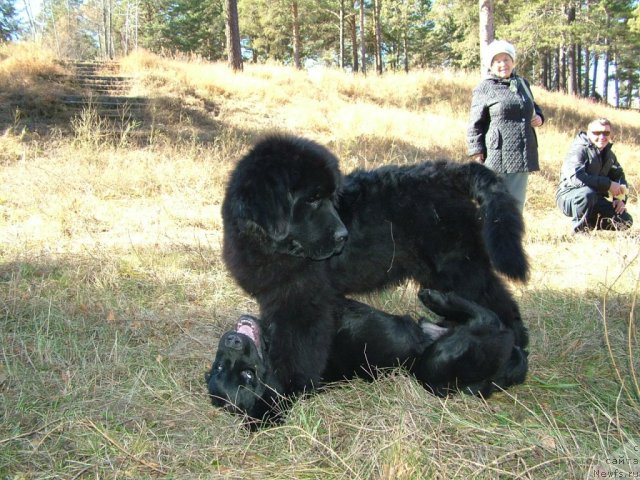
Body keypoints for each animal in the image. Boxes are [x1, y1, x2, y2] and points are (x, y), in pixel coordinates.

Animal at [221, 134, 528, 398]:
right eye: (312, 199)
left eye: (328, 198)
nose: (343, 236)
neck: (266, 245)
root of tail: (445, 173)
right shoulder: (275, 295)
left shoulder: (302, 300)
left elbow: (298, 344)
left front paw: (285, 385)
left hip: (458, 265)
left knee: (497, 304)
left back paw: (512, 356)